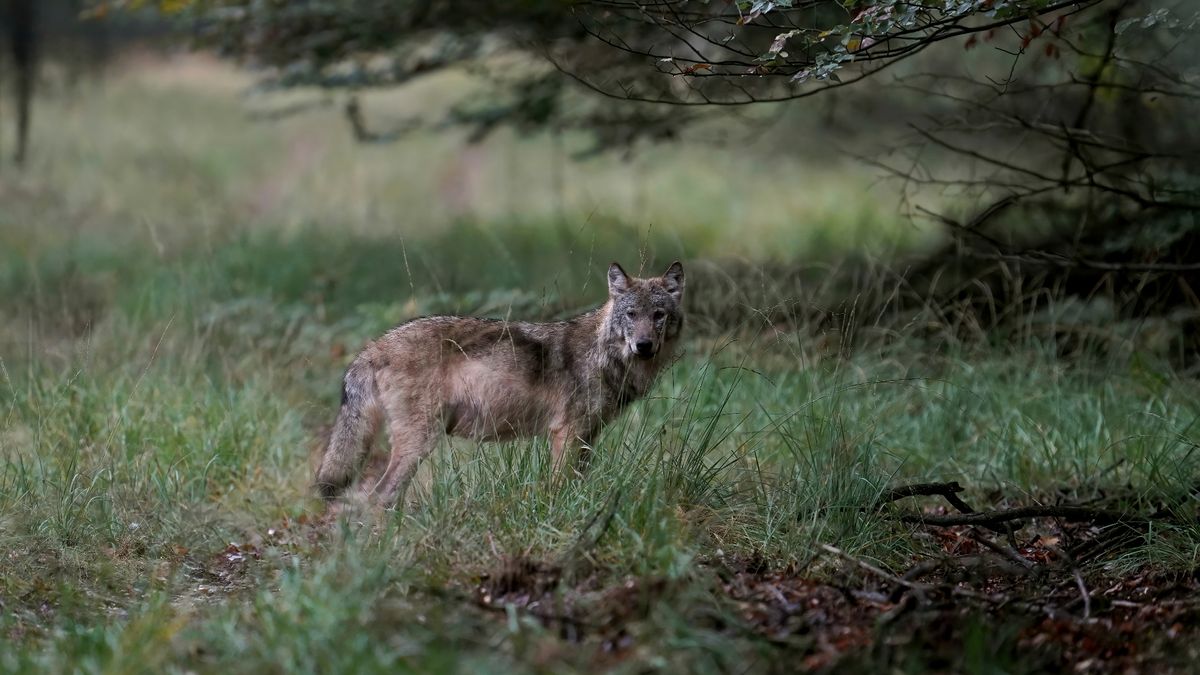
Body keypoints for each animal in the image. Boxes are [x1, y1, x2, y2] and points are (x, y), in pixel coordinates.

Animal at [315, 260, 685, 508]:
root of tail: (375, 345)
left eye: (658, 315)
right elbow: (559, 487)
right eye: (632, 315)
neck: (604, 355)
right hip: (419, 442)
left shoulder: (588, 436)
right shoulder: (566, 433)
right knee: (379, 497)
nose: (644, 346)